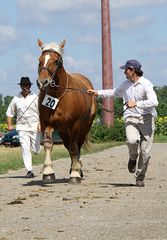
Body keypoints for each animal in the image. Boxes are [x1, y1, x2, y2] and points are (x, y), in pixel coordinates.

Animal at [36, 39, 96, 184]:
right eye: (40, 60)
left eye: (56, 61)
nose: (42, 82)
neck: (59, 95)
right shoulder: (46, 124)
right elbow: (48, 145)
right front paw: (48, 172)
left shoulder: (75, 125)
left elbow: (74, 147)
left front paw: (75, 174)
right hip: (63, 131)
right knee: (68, 146)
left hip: (84, 127)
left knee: (77, 146)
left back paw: (77, 169)